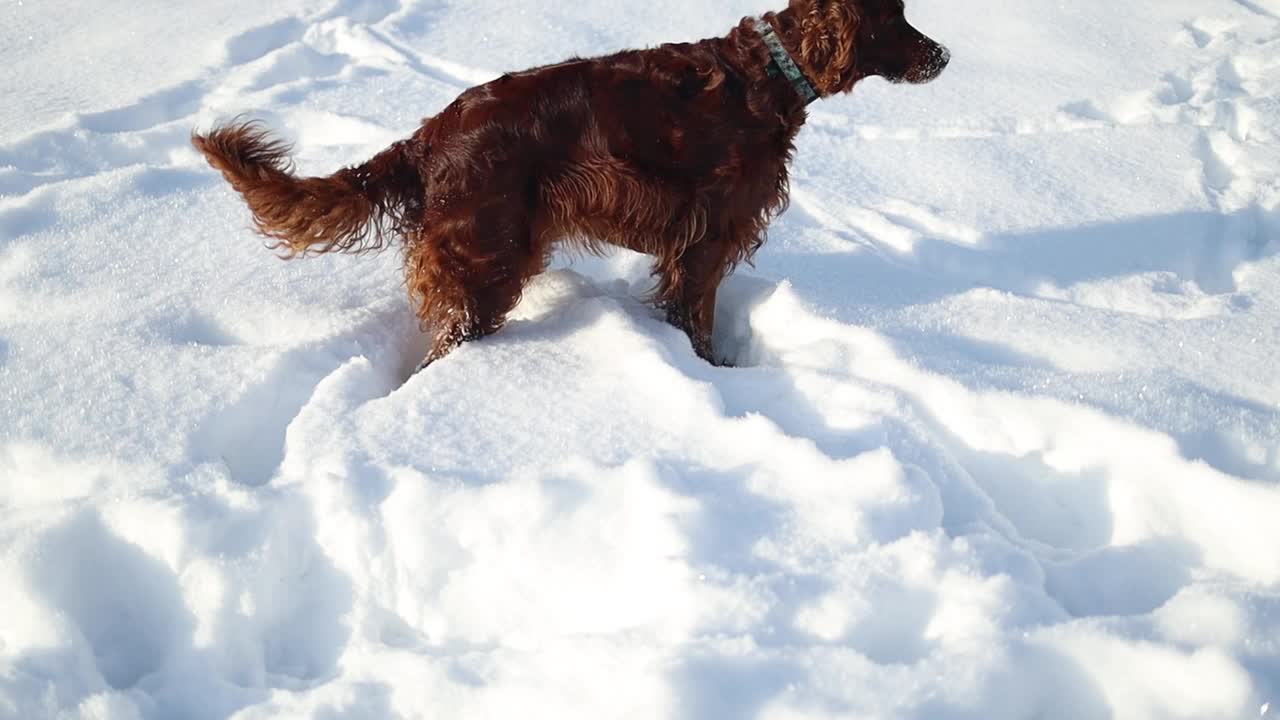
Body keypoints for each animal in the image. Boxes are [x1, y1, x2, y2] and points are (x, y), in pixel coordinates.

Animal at [194, 0, 947, 366]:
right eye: (894, 16)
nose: (943, 54)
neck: (767, 73)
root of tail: (429, 135)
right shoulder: (707, 237)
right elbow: (697, 316)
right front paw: (713, 373)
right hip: (487, 261)